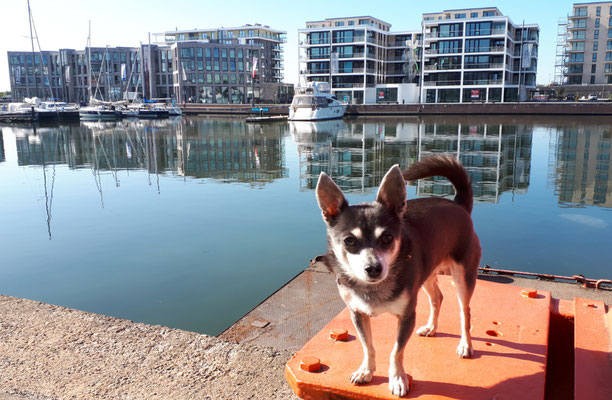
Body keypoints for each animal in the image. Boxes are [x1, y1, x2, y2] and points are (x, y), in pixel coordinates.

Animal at [316, 155, 482, 396]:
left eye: (387, 238)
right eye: (349, 241)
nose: (373, 268)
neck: (373, 288)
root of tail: (459, 204)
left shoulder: (406, 316)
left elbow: (396, 351)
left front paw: (397, 379)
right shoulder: (357, 313)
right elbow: (367, 345)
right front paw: (366, 371)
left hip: (463, 277)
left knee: (465, 311)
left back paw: (465, 344)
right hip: (427, 274)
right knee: (437, 298)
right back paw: (431, 328)